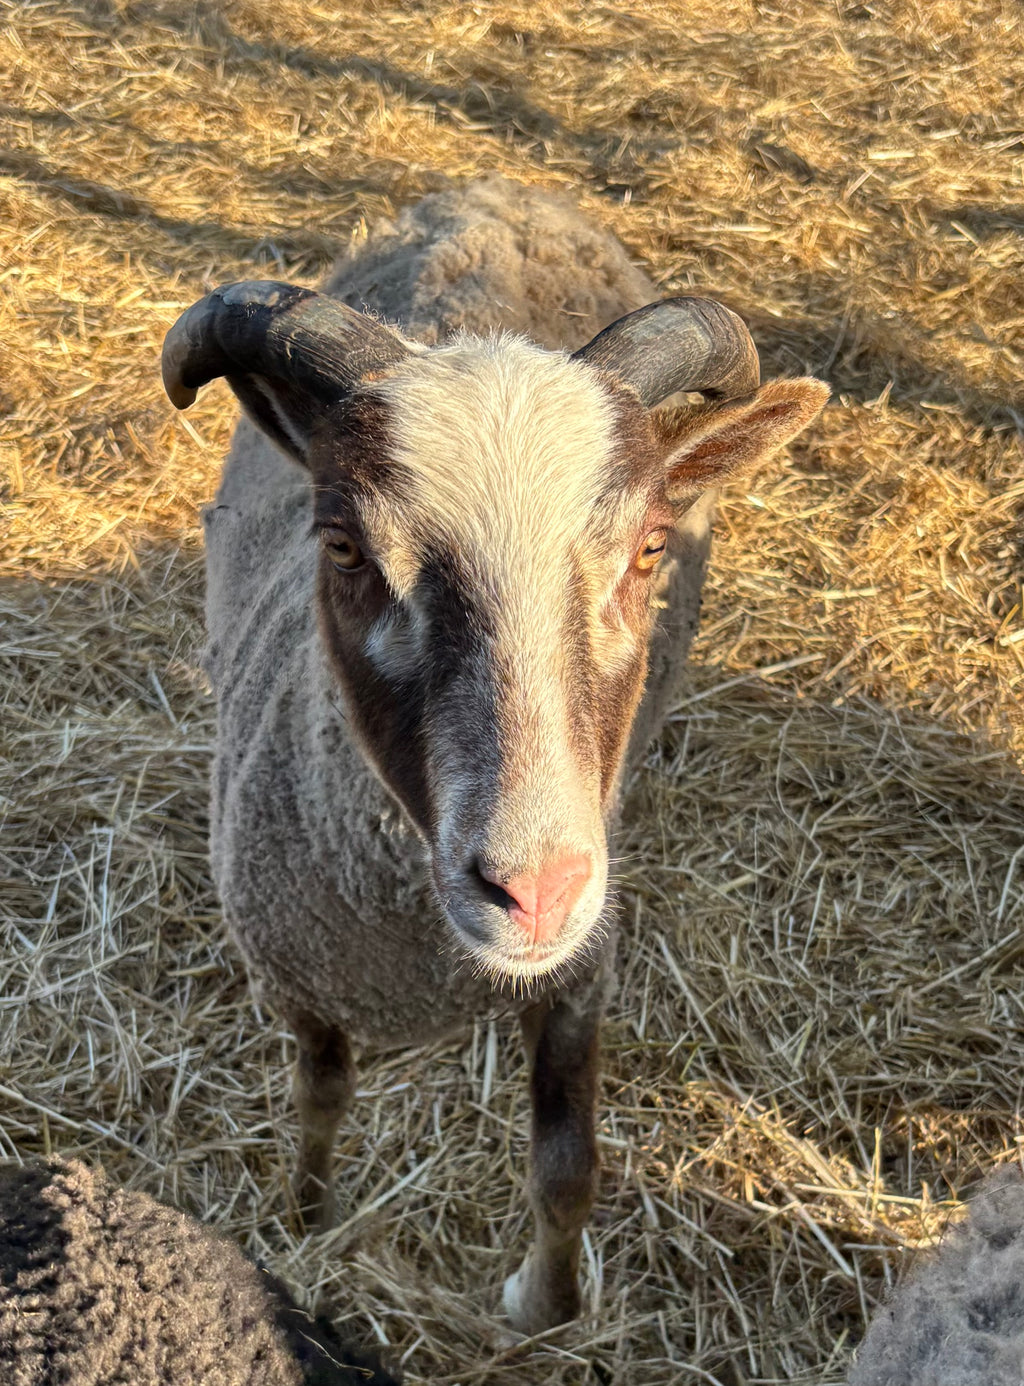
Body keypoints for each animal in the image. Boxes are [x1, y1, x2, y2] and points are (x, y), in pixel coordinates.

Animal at [161, 174, 829, 1334]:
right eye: (341, 544)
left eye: (650, 548)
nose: (536, 889)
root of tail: (497, 192)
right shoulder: (295, 976)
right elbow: (318, 1099)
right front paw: (304, 1215)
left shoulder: (579, 975)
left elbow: (568, 1167)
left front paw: (544, 1306)